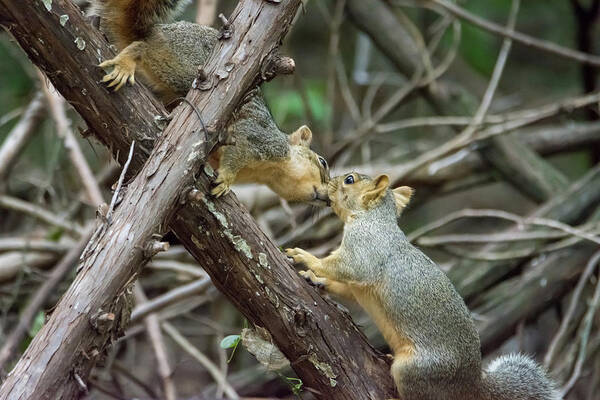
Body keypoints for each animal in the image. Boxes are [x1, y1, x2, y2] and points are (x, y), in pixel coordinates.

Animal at [91, 0, 330, 205]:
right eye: (322, 162)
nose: (329, 199)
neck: (270, 172)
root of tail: (158, 30)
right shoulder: (260, 139)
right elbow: (238, 150)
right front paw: (226, 179)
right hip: (181, 67)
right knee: (141, 47)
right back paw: (126, 61)